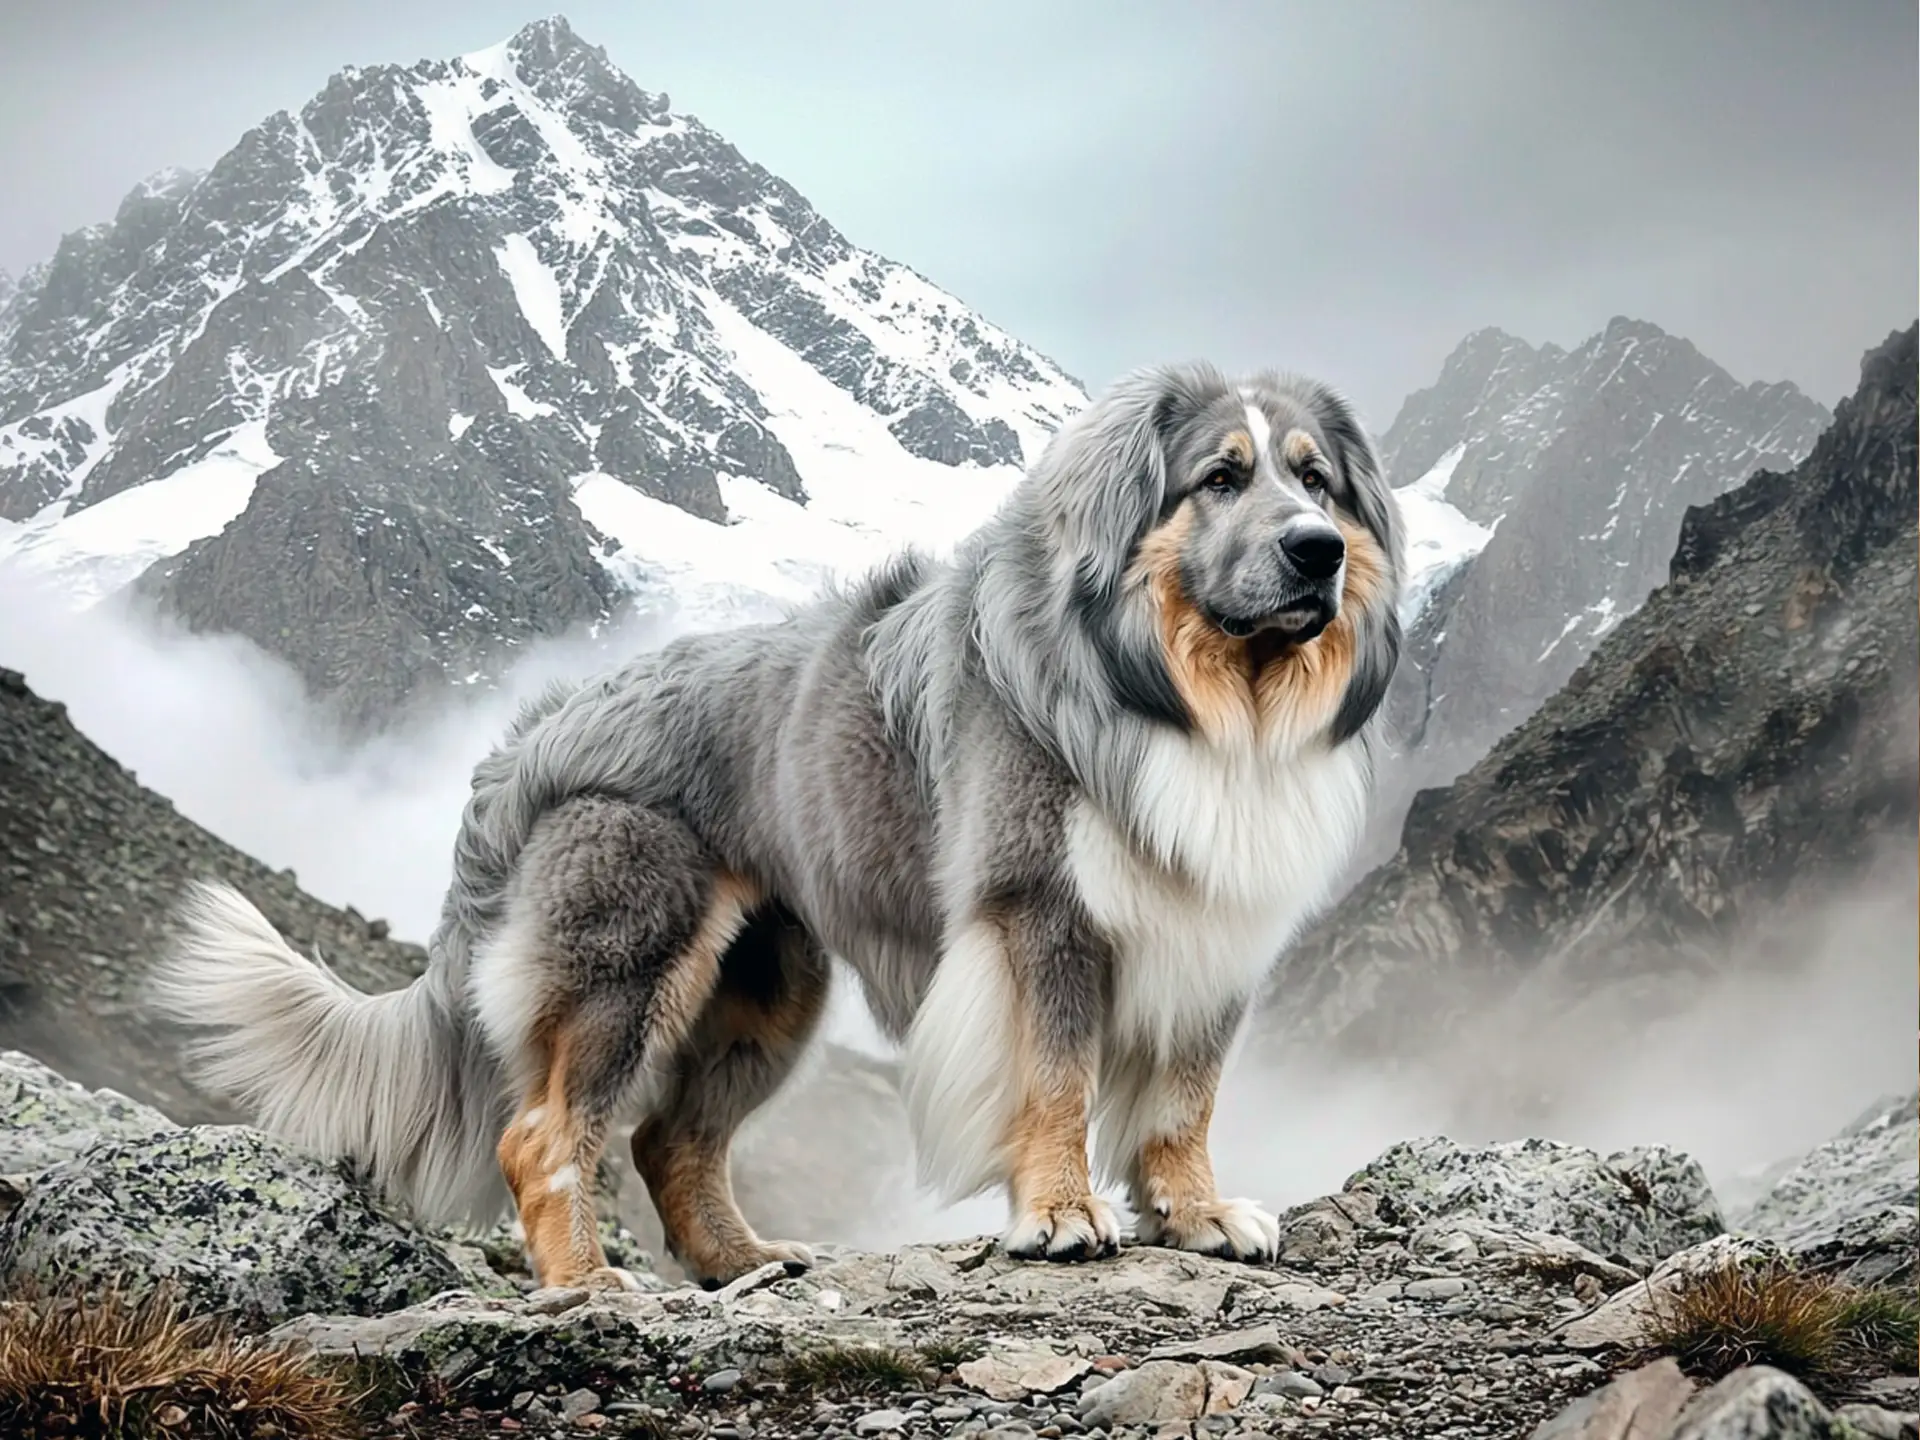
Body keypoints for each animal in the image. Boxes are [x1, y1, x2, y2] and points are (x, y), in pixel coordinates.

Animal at [149, 362, 1405, 1297]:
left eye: (1315, 479)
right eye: (1220, 477)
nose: (1318, 551)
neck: (1195, 694)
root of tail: (538, 730)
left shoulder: (1215, 932)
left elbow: (1184, 1096)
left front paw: (1196, 1214)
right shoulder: (1040, 914)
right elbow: (1055, 1079)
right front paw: (1059, 1211)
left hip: (766, 992)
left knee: (670, 1140)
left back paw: (742, 1260)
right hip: (625, 962)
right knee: (547, 1136)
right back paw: (590, 1284)